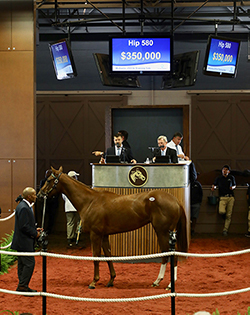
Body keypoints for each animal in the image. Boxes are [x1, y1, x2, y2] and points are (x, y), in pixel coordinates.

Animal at [38, 167, 188, 290]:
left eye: (49, 180)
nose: (40, 194)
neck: (90, 201)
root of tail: (175, 200)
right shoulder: (104, 235)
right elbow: (108, 256)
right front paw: (111, 280)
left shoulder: (95, 235)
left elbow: (96, 256)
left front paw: (94, 282)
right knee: (166, 255)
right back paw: (157, 281)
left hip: (163, 232)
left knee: (170, 255)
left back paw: (168, 284)